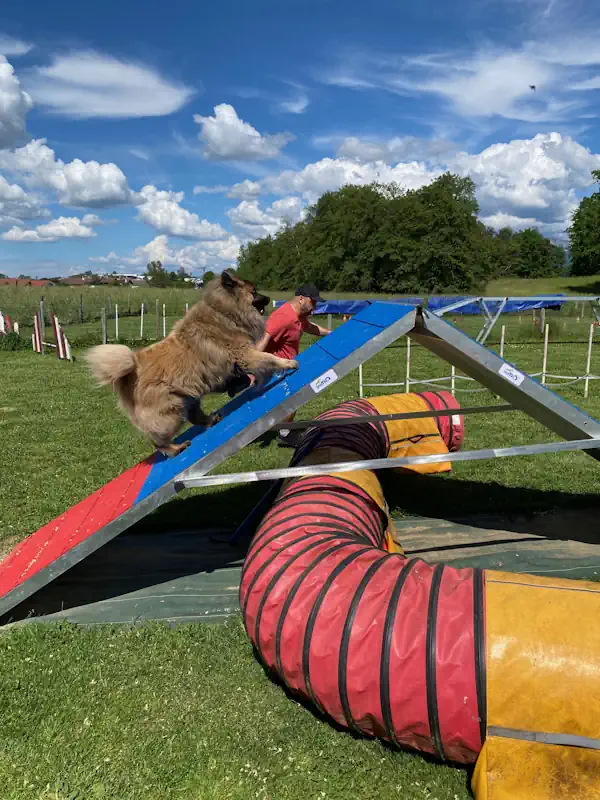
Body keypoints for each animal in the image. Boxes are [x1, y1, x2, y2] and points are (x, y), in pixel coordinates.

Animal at [83, 268, 298, 456]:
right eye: (254, 292)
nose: (269, 298)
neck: (223, 312)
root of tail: (130, 370)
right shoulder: (244, 353)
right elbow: (268, 358)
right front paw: (287, 364)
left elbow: (248, 373)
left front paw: (242, 385)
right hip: (171, 410)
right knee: (157, 439)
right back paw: (174, 449)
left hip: (187, 398)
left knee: (195, 417)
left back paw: (211, 420)